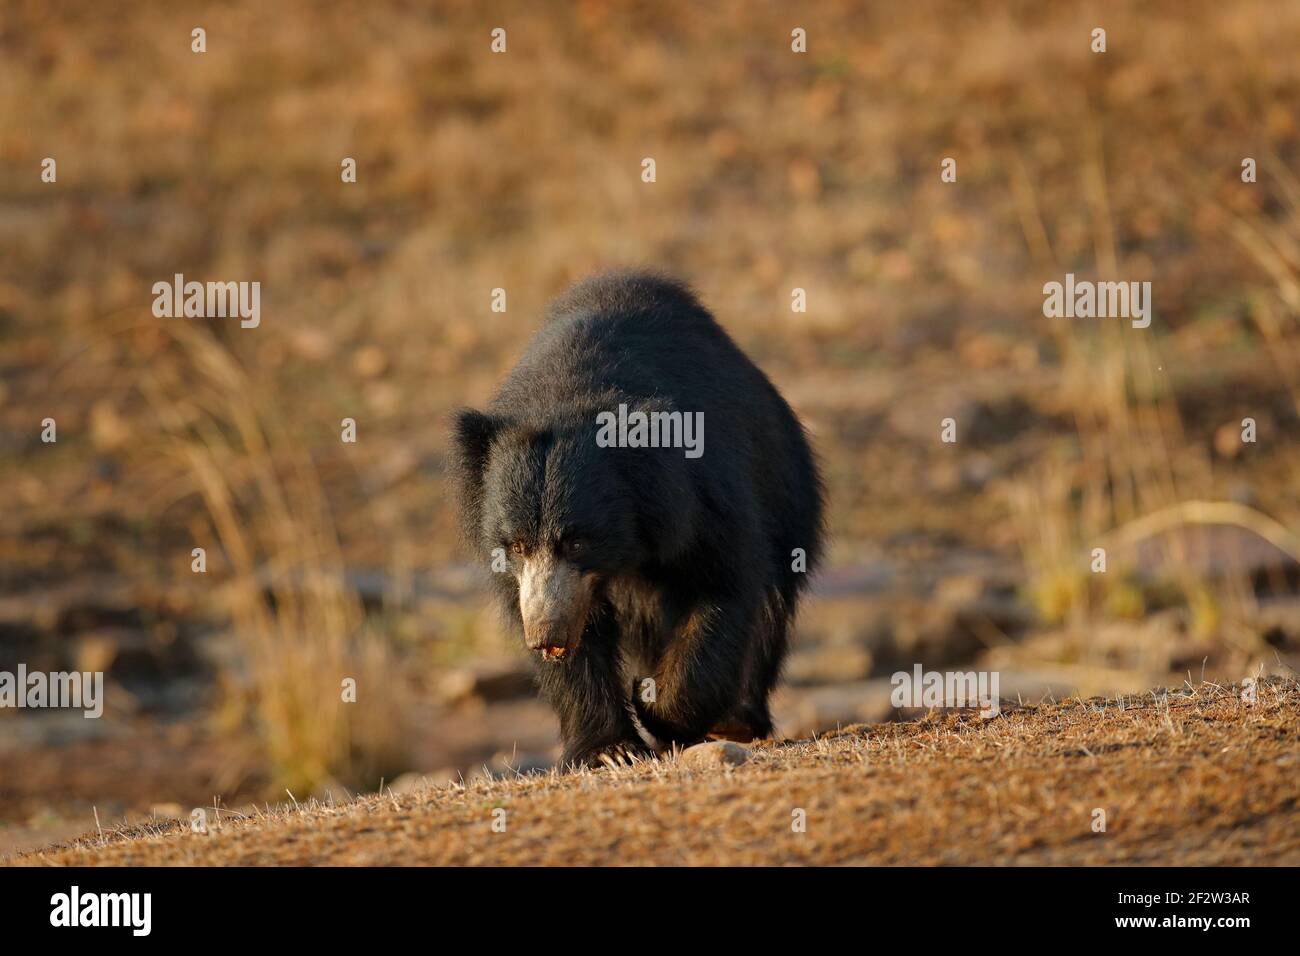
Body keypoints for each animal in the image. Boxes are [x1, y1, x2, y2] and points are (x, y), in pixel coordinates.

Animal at [452, 270, 826, 770]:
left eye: (578, 542)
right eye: (516, 546)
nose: (546, 635)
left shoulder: (703, 492)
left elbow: (722, 584)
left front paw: (657, 707)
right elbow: (579, 640)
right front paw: (610, 751)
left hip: (786, 481)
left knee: (772, 600)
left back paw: (736, 720)